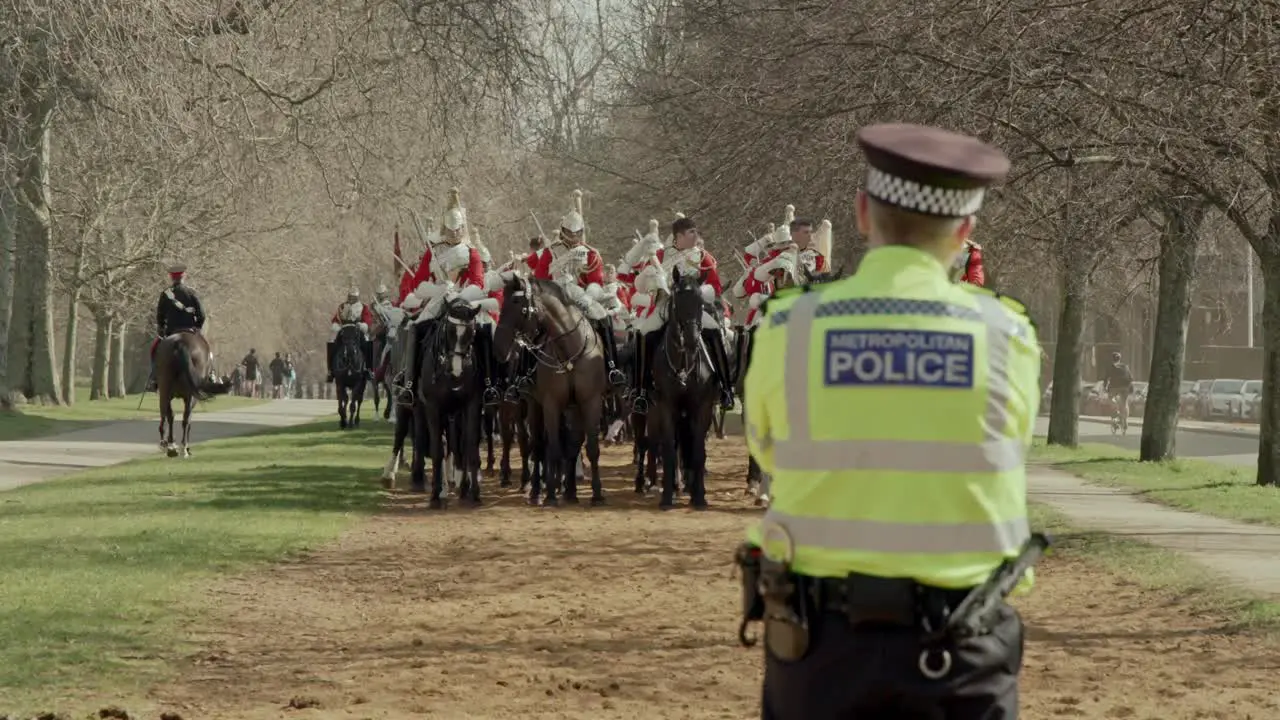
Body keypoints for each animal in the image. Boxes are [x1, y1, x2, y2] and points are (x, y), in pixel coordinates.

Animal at [412, 299, 486, 507]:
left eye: (472, 332)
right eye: (449, 331)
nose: (456, 371)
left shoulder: (472, 405)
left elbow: (469, 446)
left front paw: (473, 492)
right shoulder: (433, 407)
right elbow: (437, 450)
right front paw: (435, 496)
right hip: (424, 410)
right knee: (428, 440)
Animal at [491, 274, 606, 504]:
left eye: (516, 302)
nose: (498, 347)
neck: (571, 352)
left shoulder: (589, 402)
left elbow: (588, 447)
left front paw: (593, 493)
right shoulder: (551, 404)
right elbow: (552, 447)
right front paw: (551, 493)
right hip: (526, 405)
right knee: (531, 442)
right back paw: (534, 487)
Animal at [650, 266, 721, 507]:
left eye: (701, 301)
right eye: (678, 298)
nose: (691, 339)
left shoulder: (703, 407)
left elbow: (698, 450)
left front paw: (699, 496)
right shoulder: (665, 407)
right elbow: (670, 450)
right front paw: (666, 497)